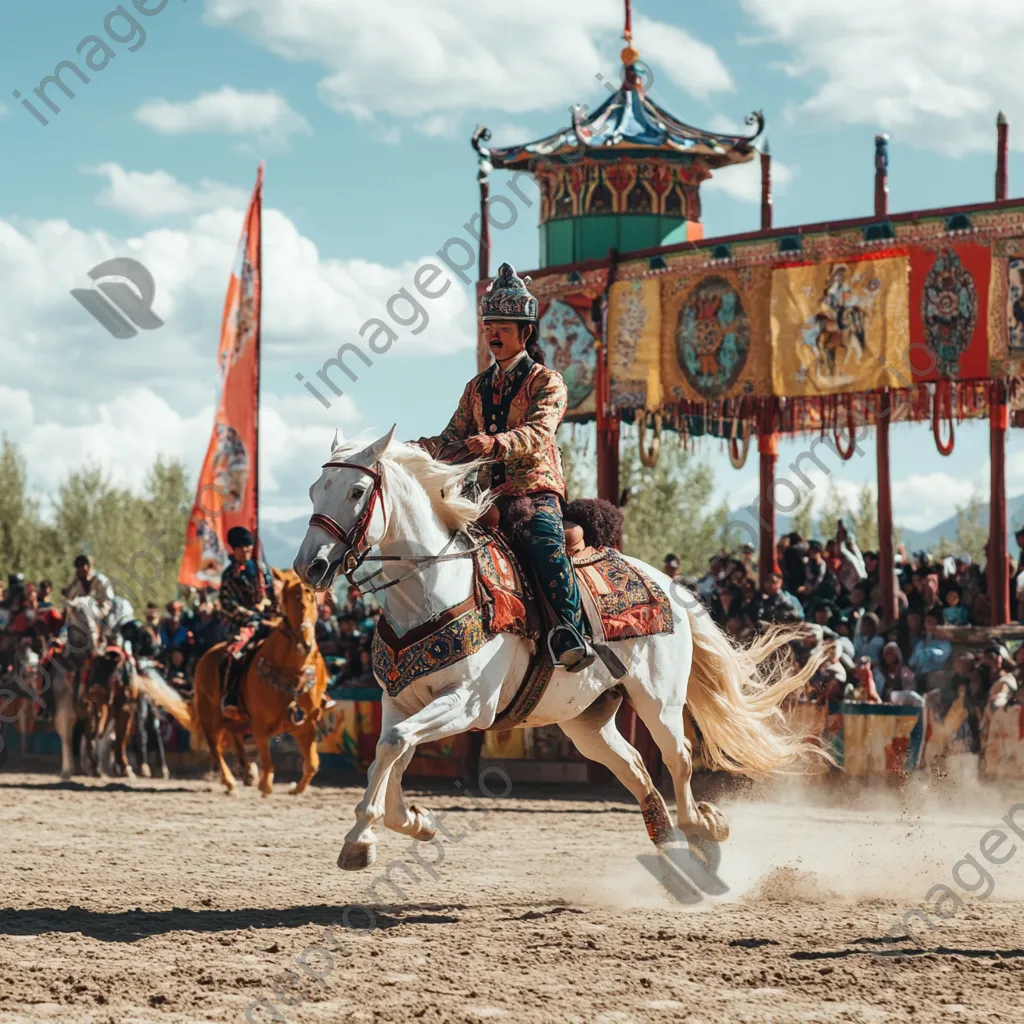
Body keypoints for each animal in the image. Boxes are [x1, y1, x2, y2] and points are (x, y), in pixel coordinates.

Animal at [292, 428, 819, 868]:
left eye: (357, 492)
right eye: (315, 490)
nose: (308, 566)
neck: (433, 589)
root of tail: (671, 587)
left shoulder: (468, 705)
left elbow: (394, 747)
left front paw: (359, 840)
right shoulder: (399, 700)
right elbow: (390, 755)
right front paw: (415, 822)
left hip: (659, 701)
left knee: (680, 758)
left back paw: (703, 828)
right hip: (587, 719)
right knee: (634, 768)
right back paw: (672, 848)